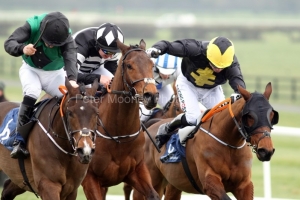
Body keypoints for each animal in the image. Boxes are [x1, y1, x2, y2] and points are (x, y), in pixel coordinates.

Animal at [79, 39, 159, 200]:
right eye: (129, 65)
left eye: (152, 65)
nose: (151, 96)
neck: (119, 134)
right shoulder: (89, 179)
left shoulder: (136, 170)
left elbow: (153, 195)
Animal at [134, 82, 278, 199]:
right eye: (250, 116)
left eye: (272, 115)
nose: (266, 150)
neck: (229, 144)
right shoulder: (210, 182)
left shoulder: (244, 185)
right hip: (151, 179)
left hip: (172, 183)